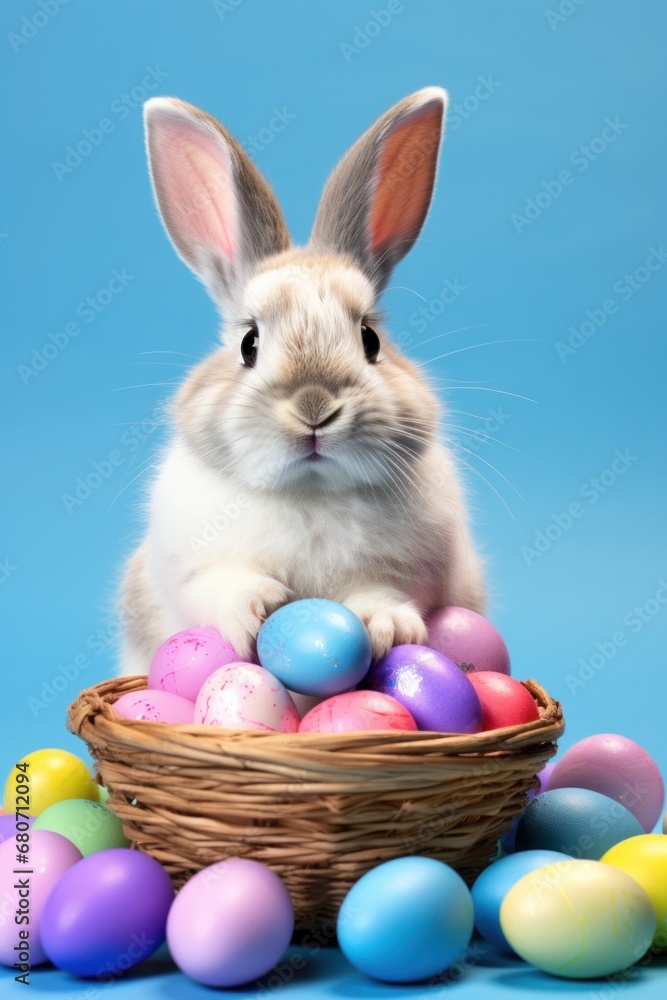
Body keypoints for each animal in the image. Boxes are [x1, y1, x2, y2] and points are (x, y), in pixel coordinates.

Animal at [118, 88, 486, 680]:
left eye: (369, 340)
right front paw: (257, 608)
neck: (309, 492)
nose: (314, 407)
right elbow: (220, 587)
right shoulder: (194, 571)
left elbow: (385, 595)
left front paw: (386, 629)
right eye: (248, 343)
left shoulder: (408, 575)